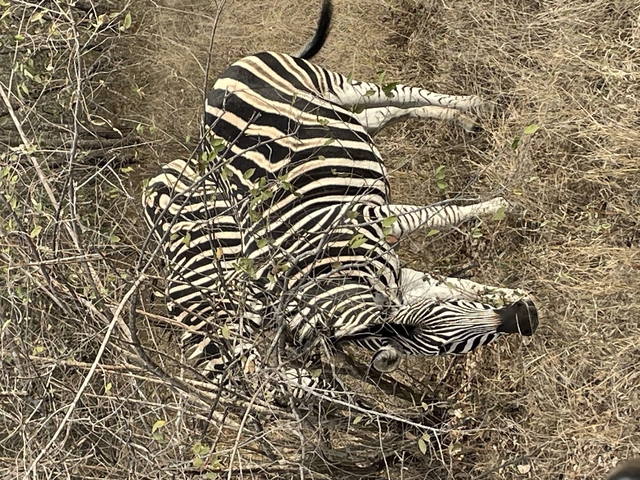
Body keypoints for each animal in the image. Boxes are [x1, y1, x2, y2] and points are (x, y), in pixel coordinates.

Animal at [143, 0, 538, 396]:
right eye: (448, 343)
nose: (528, 319)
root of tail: (223, 77)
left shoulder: (378, 217)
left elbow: (447, 213)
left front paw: (507, 207)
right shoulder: (400, 280)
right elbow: (453, 283)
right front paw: (515, 293)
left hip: (331, 85)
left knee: (397, 93)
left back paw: (476, 105)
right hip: (339, 111)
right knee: (383, 112)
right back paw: (464, 119)